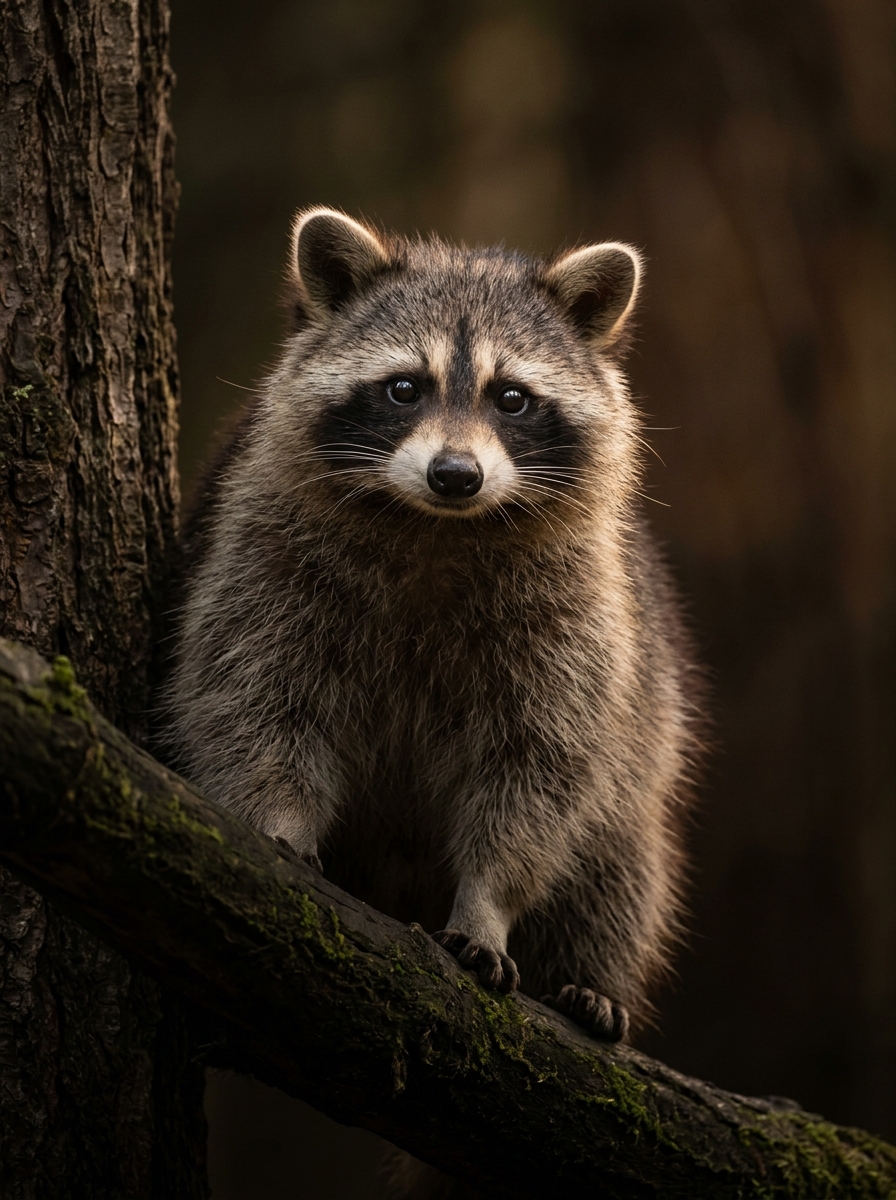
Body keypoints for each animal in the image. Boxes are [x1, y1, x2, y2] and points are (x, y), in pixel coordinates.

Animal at [168, 208, 702, 1044]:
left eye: (511, 398)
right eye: (403, 388)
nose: (456, 476)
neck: (437, 525)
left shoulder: (577, 621)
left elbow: (538, 772)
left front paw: (489, 903)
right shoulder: (259, 557)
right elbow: (252, 702)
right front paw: (280, 819)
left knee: (622, 861)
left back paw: (591, 976)